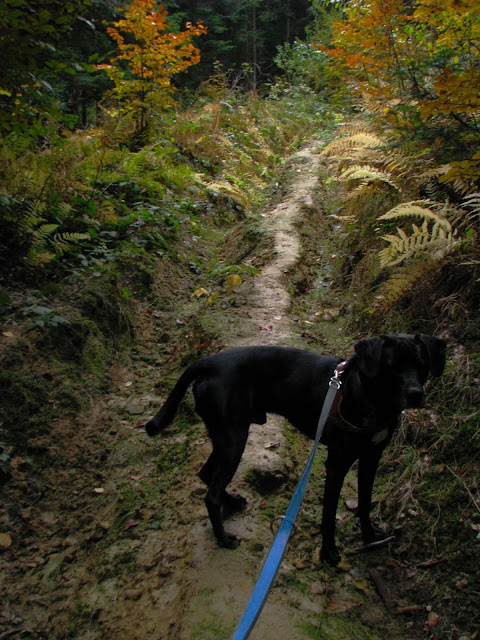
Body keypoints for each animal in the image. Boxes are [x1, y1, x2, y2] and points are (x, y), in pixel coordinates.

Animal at [145, 336, 446, 564]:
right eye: (392, 367)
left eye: (422, 366)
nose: (416, 394)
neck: (371, 399)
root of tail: (208, 361)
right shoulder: (337, 463)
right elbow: (329, 514)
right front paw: (329, 552)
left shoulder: (372, 458)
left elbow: (364, 501)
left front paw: (369, 536)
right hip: (233, 440)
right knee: (211, 494)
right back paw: (223, 538)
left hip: (225, 437)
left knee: (207, 475)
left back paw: (231, 503)